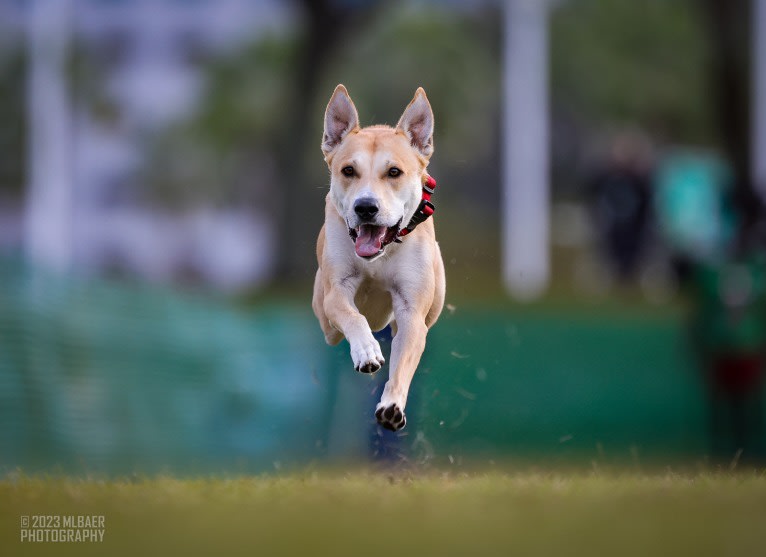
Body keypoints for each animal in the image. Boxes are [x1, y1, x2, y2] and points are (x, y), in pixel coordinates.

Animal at [312, 83, 448, 430]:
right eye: (348, 170)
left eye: (394, 172)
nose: (365, 207)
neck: (380, 256)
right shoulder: (335, 291)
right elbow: (351, 315)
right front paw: (366, 351)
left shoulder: (412, 309)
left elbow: (404, 360)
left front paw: (392, 405)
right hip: (323, 316)